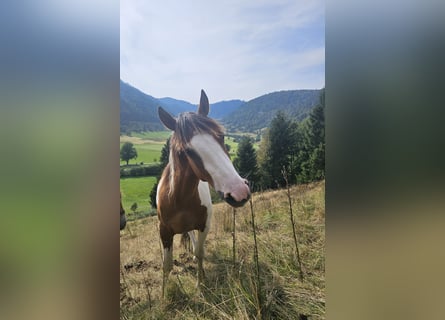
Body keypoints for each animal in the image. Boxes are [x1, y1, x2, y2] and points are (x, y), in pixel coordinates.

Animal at [156, 89, 250, 292]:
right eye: (187, 152)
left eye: (221, 137)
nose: (239, 192)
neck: (178, 198)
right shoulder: (164, 232)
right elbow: (166, 265)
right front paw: (164, 294)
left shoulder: (204, 225)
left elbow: (200, 252)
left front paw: (201, 283)